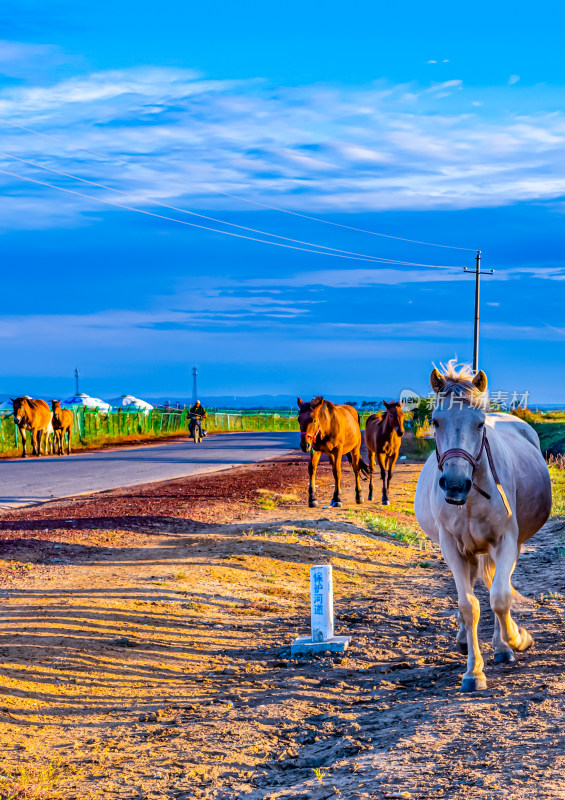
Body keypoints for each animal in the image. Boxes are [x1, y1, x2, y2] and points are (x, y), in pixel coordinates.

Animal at [414, 366, 552, 692]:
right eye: (435, 421)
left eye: (479, 424)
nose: (454, 484)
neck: (472, 498)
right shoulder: (452, 548)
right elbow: (469, 606)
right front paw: (473, 672)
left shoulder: (506, 541)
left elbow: (500, 597)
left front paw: (516, 639)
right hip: (469, 551)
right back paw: (466, 640)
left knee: (495, 587)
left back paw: (502, 646)